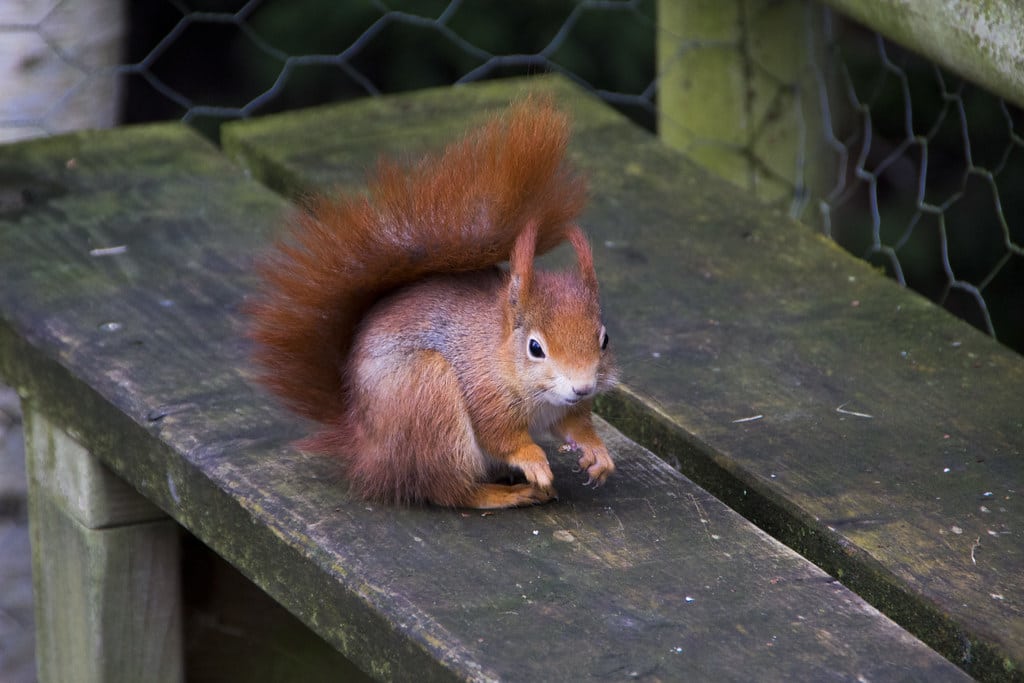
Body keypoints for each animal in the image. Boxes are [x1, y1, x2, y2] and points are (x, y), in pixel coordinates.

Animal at [248, 97, 618, 509]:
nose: (583, 387)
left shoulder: (565, 407)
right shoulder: (484, 392)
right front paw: (533, 460)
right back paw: (506, 493)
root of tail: (366, 447)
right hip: (429, 400)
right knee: (450, 489)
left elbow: (574, 424)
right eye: (535, 347)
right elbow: (501, 436)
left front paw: (597, 452)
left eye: (604, 340)